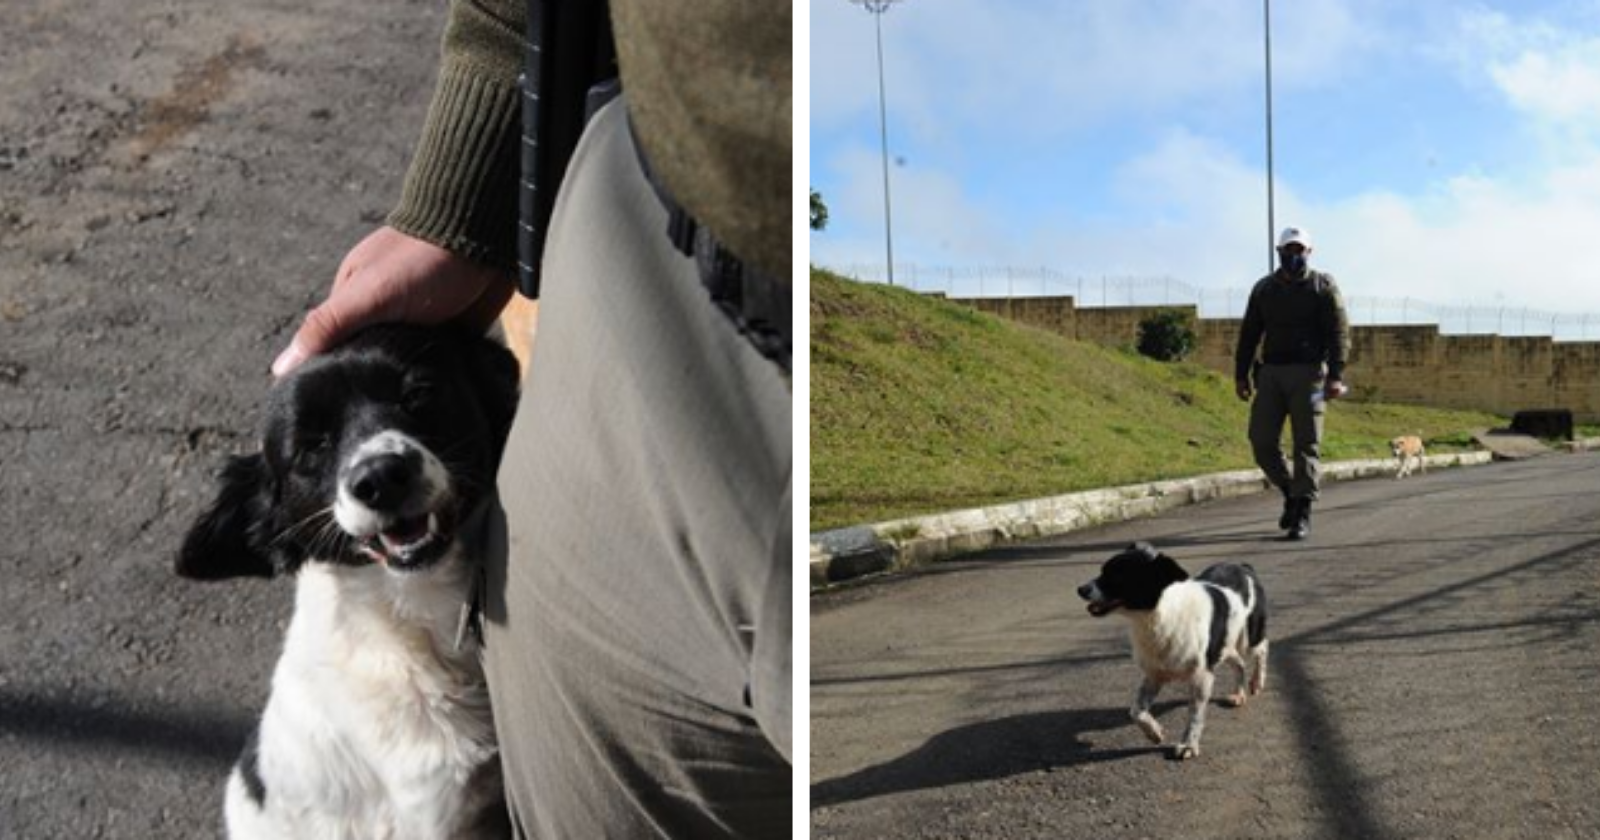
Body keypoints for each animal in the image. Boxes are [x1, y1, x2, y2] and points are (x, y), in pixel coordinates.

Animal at [1081, 544, 1267, 758]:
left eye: (1118, 575)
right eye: (1102, 571)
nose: (1080, 589)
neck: (1157, 616)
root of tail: (1243, 567)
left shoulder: (1201, 677)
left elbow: (1194, 716)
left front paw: (1188, 745)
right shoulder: (1154, 675)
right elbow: (1136, 711)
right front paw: (1154, 732)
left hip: (1248, 638)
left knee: (1262, 649)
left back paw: (1257, 681)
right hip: (1223, 646)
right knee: (1239, 663)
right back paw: (1239, 694)